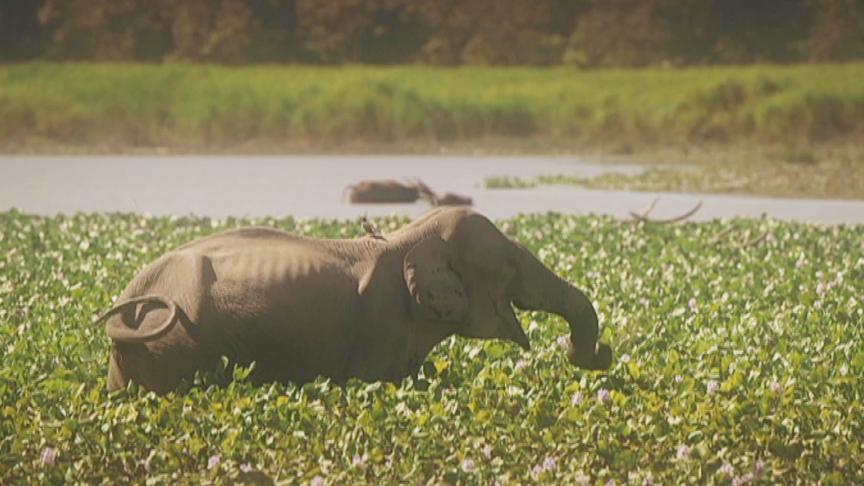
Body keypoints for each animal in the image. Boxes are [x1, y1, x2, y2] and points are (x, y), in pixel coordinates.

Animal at [98, 208, 612, 394]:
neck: (411, 235)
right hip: (177, 348)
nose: (598, 353)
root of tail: (131, 295)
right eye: (508, 266)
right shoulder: (380, 322)